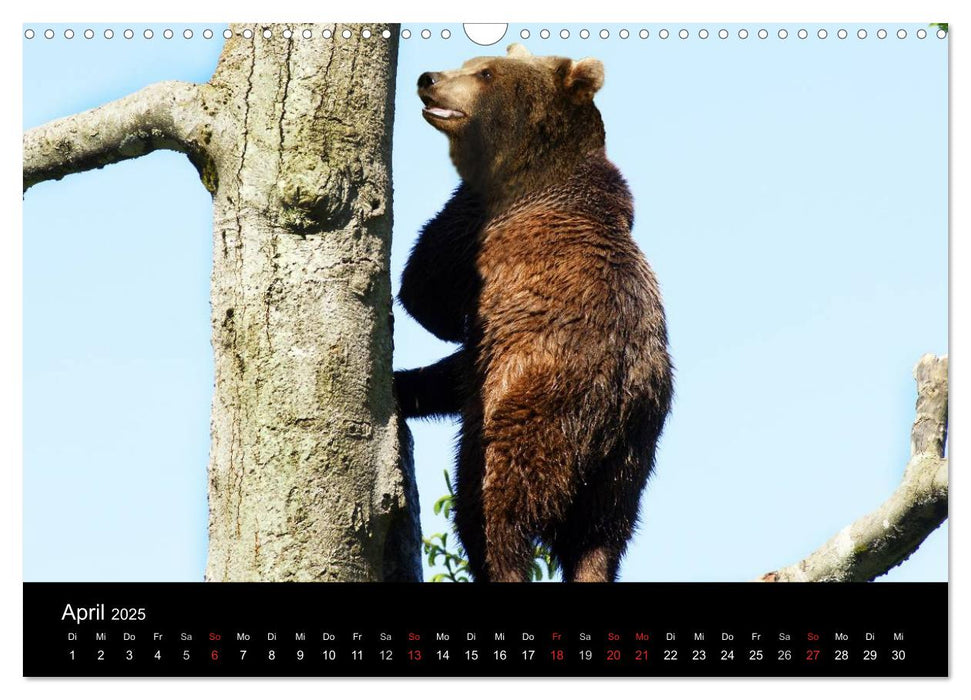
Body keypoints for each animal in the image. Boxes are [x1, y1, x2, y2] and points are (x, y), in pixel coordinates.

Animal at [392, 42, 672, 580]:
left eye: (484, 73)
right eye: (467, 63)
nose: (428, 79)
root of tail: (615, 401)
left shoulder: (486, 236)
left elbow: (425, 291)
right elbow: (453, 366)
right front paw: (406, 385)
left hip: (535, 404)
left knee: (491, 506)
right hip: (628, 465)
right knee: (601, 540)